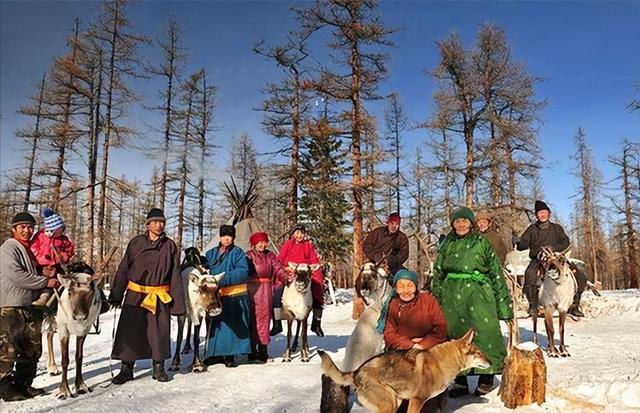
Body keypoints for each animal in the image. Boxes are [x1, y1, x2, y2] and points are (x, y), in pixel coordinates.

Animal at [318, 328, 490, 412]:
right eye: (479, 353)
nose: (491, 362)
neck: (442, 362)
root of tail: (356, 372)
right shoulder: (417, 400)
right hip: (389, 405)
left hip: (396, 401)